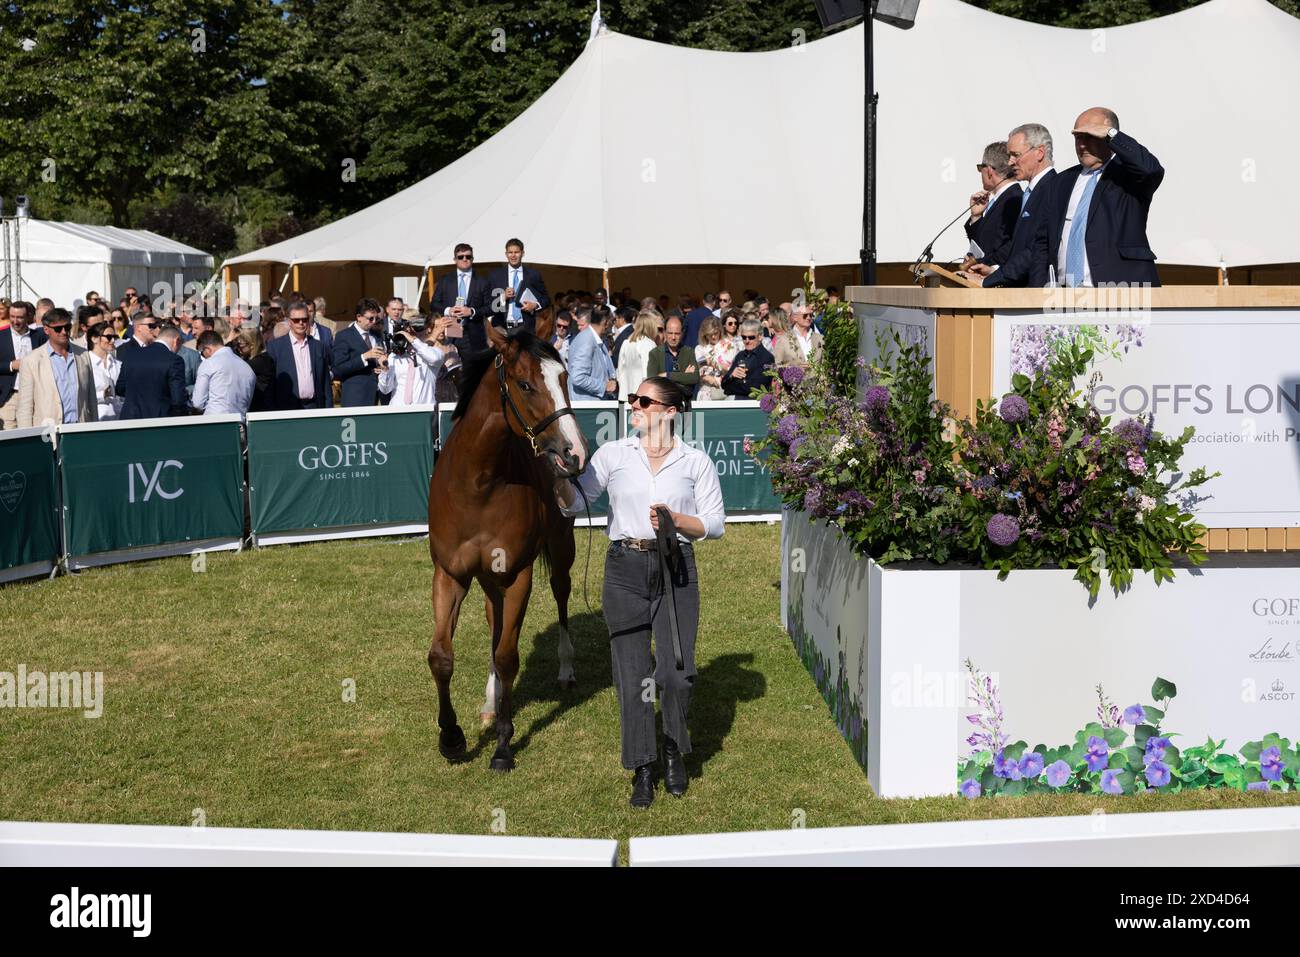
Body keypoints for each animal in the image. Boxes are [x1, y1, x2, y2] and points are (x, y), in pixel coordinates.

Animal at [426, 317, 590, 774]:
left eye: (565, 379)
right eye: (526, 384)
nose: (575, 453)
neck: (478, 485)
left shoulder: (517, 574)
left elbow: (507, 656)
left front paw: (502, 744)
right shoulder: (450, 574)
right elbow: (441, 656)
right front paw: (451, 737)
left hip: (562, 551)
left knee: (561, 595)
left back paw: (566, 669)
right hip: (487, 580)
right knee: (493, 621)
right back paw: (489, 700)